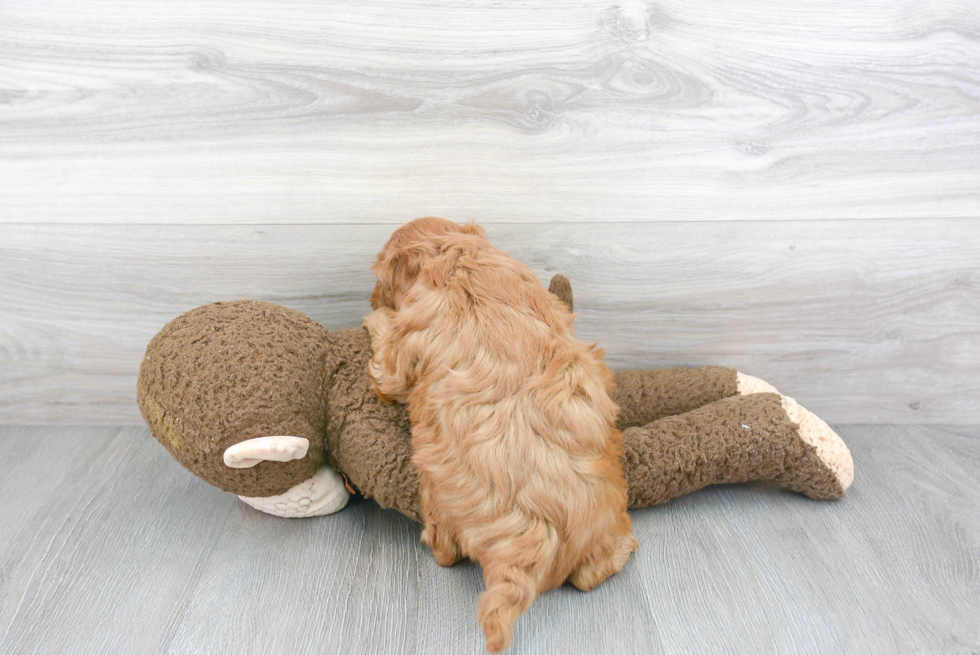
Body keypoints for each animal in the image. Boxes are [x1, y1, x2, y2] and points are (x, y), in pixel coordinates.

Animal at [364, 218, 640, 652]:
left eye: (379, 278)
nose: (372, 297)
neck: (454, 254)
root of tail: (539, 529)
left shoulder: (401, 347)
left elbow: (385, 363)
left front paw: (373, 319)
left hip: (437, 495)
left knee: (445, 551)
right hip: (605, 528)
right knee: (594, 572)